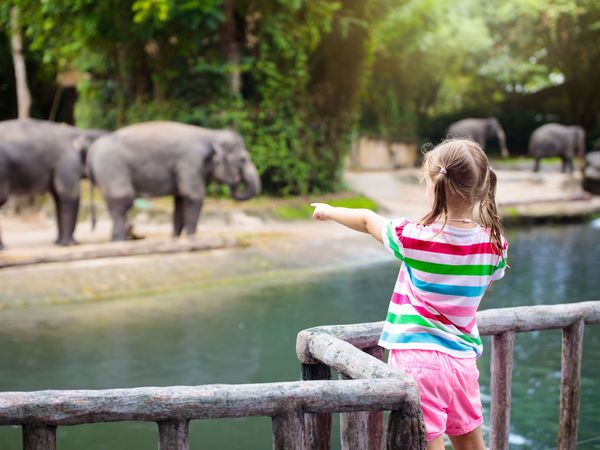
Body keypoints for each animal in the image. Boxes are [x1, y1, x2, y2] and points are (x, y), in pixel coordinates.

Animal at [0, 118, 106, 250]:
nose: (93, 227)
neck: (81, 132)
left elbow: (58, 198)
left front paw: (59, 243)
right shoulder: (67, 161)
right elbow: (68, 195)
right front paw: (68, 244)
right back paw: (3, 248)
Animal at [86, 118, 260, 239]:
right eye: (243, 160)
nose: (236, 181)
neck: (211, 134)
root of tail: (92, 150)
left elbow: (180, 201)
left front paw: (176, 237)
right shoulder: (190, 162)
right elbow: (193, 195)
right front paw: (191, 237)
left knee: (113, 204)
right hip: (112, 169)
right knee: (123, 200)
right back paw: (121, 239)